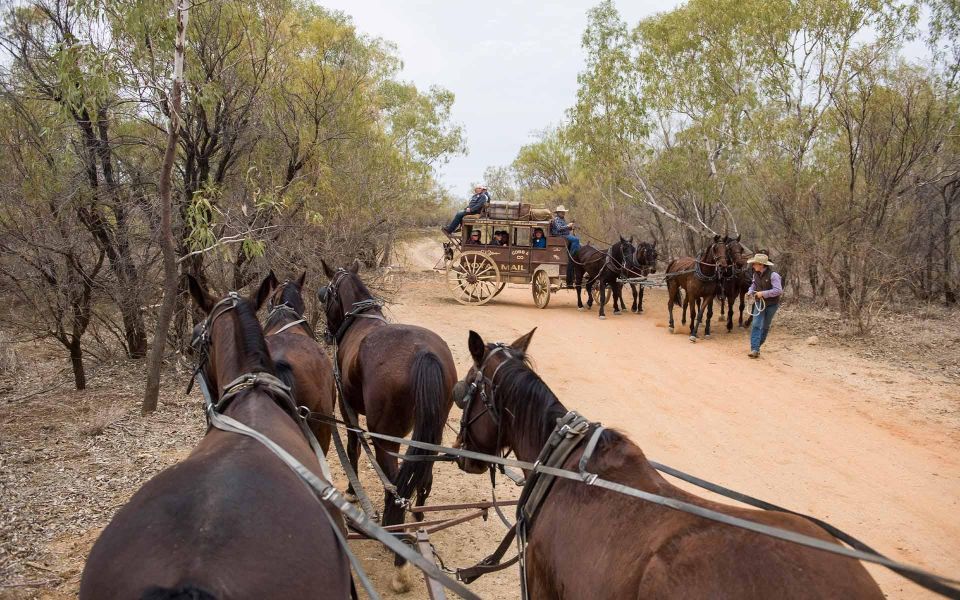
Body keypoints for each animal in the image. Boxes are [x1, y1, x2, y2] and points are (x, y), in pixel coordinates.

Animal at [316, 258, 456, 596]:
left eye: (326, 295)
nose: (327, 333)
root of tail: (423, 353)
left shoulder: (348, 410)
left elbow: (353, 448)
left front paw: (352, 490)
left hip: (386, 439)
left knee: (395, 483)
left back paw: (398, 550)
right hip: (431, 436)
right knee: (423, 478)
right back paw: (416, 522)